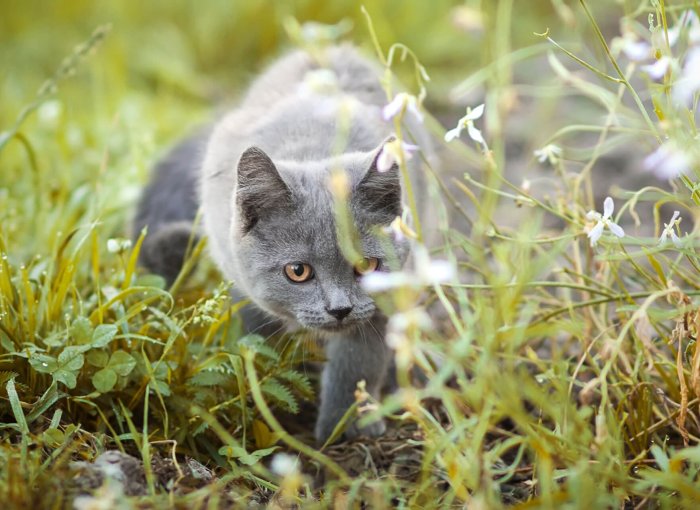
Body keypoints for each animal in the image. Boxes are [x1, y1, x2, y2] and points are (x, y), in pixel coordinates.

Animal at [133, 44, 430, 442]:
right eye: (297, 271)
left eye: (367, 265)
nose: (340, 309)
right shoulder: (240, 278)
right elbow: (258, 333)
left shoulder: (383, 299)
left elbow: (357, 364)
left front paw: (344, 428)